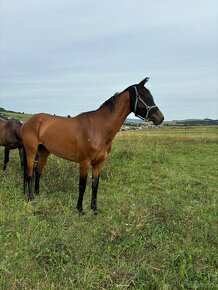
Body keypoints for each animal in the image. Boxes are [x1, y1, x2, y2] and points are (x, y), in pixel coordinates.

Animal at [21, 78, 164, 214]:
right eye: (144, 96)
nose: (160, 118)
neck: (98, 128)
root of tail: (28, 122)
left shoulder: (99, 163)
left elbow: (95, 185)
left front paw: (94, 209)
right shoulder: (84, 163)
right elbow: (82, 186)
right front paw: (80, 209)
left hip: (44, 151)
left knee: (38, 171)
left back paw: (37, 194)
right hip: (31, 151)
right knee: (29, 173)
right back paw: (30, 198)